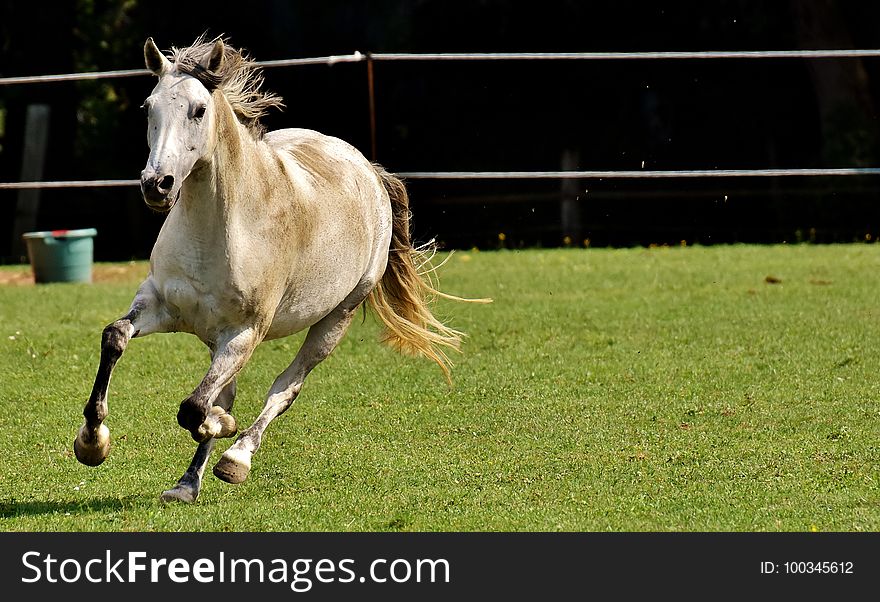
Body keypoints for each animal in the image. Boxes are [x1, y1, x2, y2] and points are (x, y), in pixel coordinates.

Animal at [74, 35, 488, 500]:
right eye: (149, 107)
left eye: (198, 110)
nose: (156, 185)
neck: (219, 230)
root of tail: (368, 170)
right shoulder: (161, 305)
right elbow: (115, 338)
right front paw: (91, 442)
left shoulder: (245, 333)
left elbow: (195, 408)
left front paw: (221, 429)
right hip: (216, 337)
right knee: (226, 392)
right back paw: (187, 483)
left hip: (333, 321)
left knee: (284, 389)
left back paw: (236, 458)